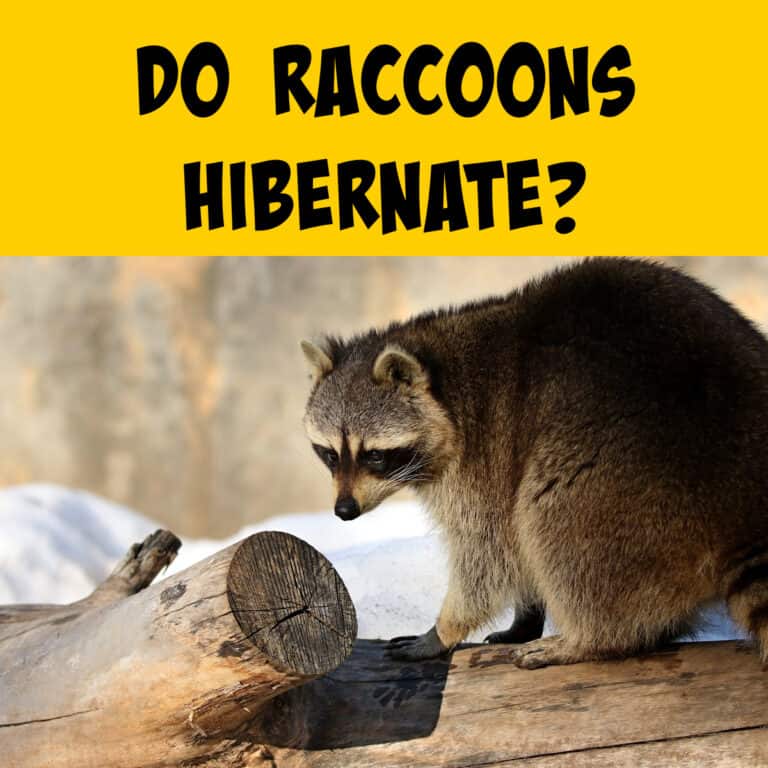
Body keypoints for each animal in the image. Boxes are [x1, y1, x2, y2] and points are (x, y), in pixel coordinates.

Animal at [301, 257, 768, 668]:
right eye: (329, 454)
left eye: (375, 455)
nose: (344, 511)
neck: (445, 383)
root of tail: (740, 506)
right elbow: (511, 550)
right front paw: (525, 616)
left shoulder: (484, 457)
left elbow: (489, 550)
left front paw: (445, 629)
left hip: (621, 478)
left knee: (551, 518)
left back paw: (591, 639)